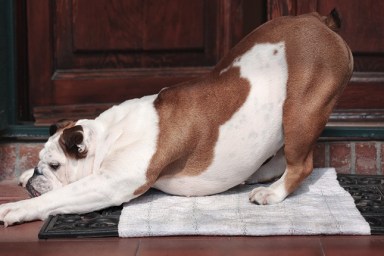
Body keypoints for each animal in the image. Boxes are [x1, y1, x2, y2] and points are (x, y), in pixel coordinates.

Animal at [0, 10, 352, 226]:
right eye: (41, 161)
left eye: (55, 165)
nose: (36, 175)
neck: (108, 136)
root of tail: (320, 21)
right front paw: (24, 175)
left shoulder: (111, 184)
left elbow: (60, 195)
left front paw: (15, 207)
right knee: (279, 159)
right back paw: (256, 176)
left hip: (301, 111)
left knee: (300, 164)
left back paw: (272, 193)